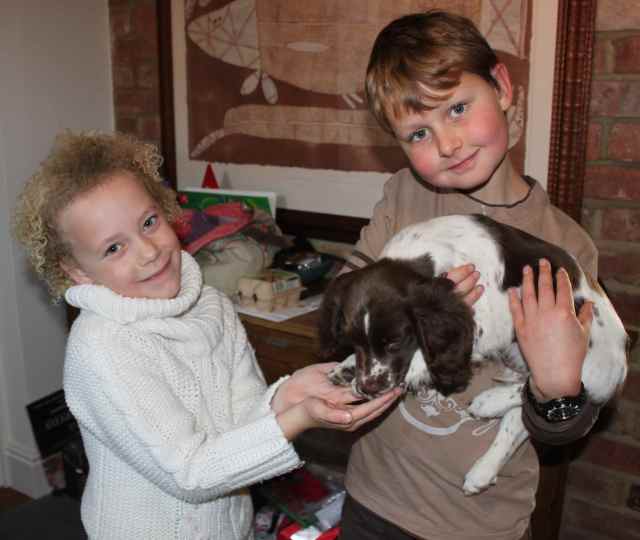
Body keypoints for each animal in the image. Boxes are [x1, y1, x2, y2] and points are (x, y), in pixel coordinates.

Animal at [318, 214, 628, 495]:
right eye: (353, 342)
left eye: (395, 342)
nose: (369, 387)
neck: (419, 255)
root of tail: (623, 361)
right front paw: (347, 367)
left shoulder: (486, 324)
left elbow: (433, 352)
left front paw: (412, 372)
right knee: (520, 417)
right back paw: (483, 470)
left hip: (579, 356)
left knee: (551, 387)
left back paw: (487, 403)